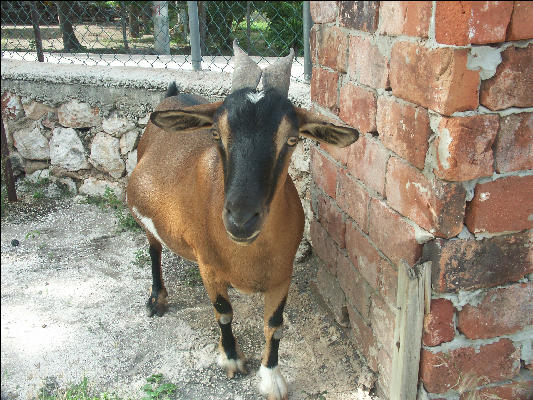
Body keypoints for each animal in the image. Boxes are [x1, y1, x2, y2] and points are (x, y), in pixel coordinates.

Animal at [125, 42, 358, 398]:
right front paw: (232, 359)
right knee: (154, 248)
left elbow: (275, 326)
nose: (241, 219)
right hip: (147, 220)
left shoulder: (282, 274)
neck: (249, 255)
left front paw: (271, 378)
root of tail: (172, 95)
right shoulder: (209, 267)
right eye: (216, 134)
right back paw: (157, 299)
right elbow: (224, 314)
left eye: (292, 139)